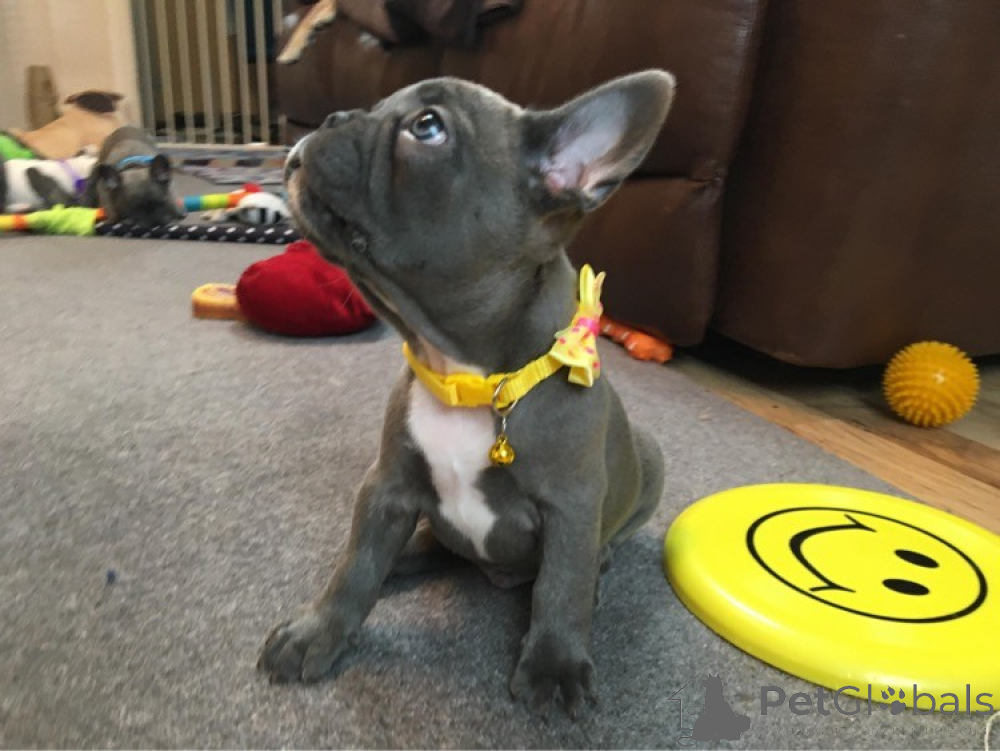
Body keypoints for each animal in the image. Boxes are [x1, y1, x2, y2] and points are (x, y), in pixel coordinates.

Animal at [259, 70, 674, 717]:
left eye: (427, 127)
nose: (332, 116)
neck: (466, 374)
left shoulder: (572, 506)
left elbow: (561, 586)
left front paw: (554, 664)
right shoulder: (386, 487)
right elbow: (356, 567)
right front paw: (316, 633)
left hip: (648, 459)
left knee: (586, 560)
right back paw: (408, 554)